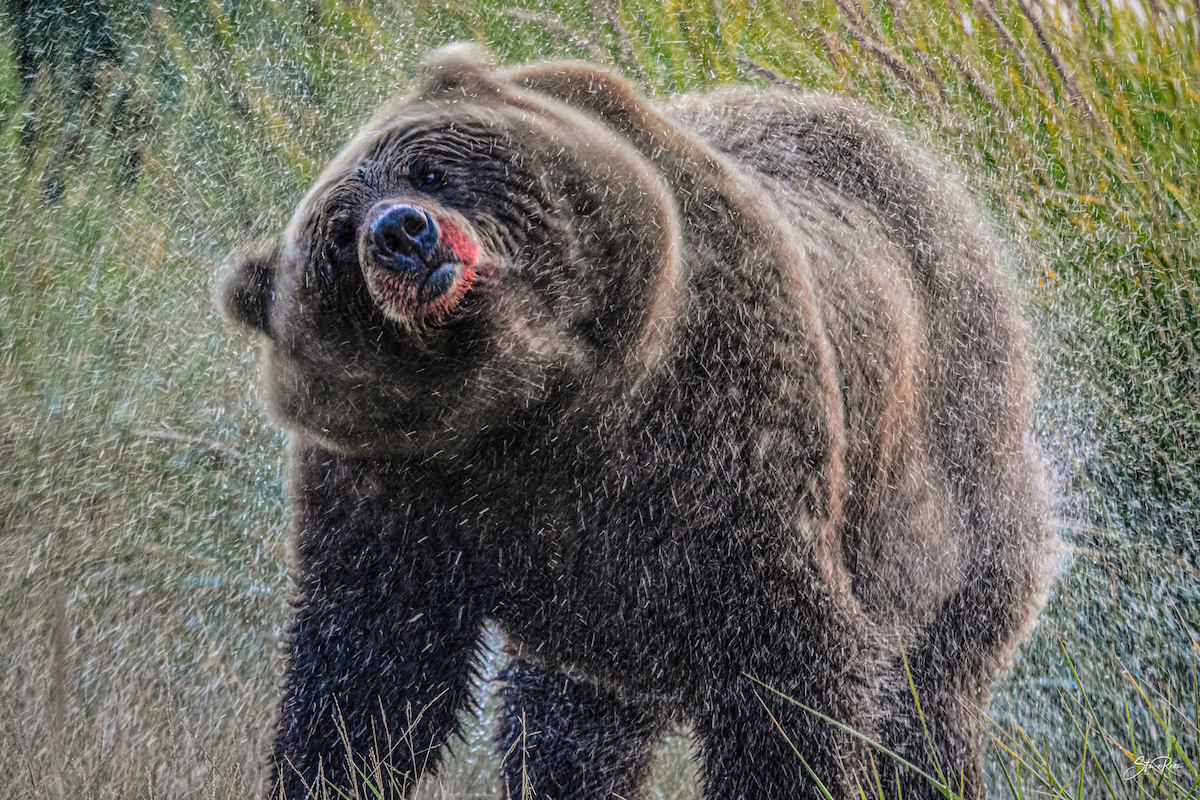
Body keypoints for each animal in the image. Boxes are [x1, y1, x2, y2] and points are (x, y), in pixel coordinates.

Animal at [223, 45, 1051, 800]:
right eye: (339, 236)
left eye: (429, 171)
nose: (400, 232)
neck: (538, 409)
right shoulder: (388, 484)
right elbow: (370, 673)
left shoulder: (718, 417)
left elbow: (790, 668)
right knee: (562, 726)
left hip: (954, 435)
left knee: (933, 682)